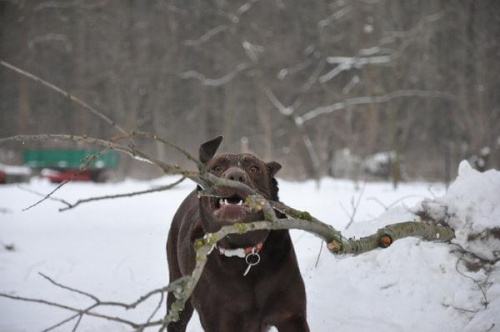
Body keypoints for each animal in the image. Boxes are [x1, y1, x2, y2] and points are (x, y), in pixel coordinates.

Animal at [168, 136, 308, 330]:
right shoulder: (220, 320)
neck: (242, 249)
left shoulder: (291, 316)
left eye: (254, 168)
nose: (235, 176)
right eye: (217, 168)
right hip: (178, 290)